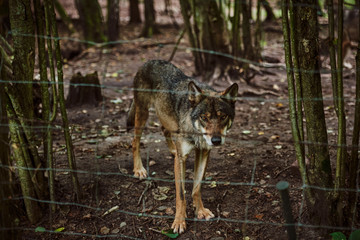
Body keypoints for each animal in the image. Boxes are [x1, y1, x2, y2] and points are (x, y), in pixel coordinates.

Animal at [127, 59, 239, 232]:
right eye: (204, 117)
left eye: (223, 117)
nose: (216, 141)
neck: (195, 131)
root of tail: (149, 61)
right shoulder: (182, 159)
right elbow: (181, 194)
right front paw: (179, 221)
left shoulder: (203, 152)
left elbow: (196, 188)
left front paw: (200, 211)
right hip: (142, 114)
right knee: (135, 142)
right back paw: (139, 169)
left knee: (164, 130)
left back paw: (173, 149)